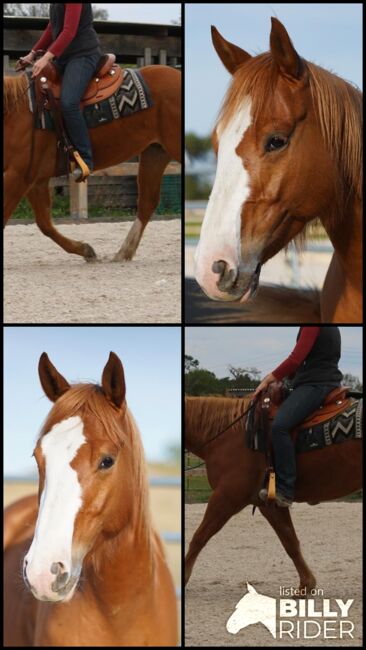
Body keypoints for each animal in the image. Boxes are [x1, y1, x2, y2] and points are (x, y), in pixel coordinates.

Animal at [2, 64, 180, 260]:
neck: (17, 111)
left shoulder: (19, 175)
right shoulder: (35, 179)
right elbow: (45, 224)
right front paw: (85, 249)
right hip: (155, 152)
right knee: (147, 202)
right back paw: (124, 252)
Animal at [186, 394, 364, 588]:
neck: (227, 436)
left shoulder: (226, 498)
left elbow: (198, 538)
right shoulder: (269, 504)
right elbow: (290, 541)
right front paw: (306, 585)